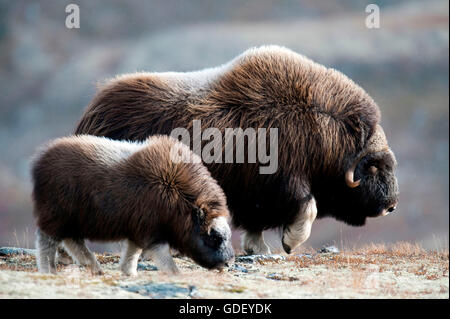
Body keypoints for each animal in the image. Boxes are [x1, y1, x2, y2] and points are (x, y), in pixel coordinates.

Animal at [31, 134, 234, 276]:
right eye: (214, 237)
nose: (229, 262)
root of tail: (40, 162)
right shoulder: (151, 230)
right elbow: (160, 254)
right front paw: (175, 274)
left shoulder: (139, 228)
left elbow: (133, 251)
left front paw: (128, 272)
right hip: (56, 215)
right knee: (47, 241)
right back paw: (49, 270)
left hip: (72, 220)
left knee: (72, 241)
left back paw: (94, 267)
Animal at [75, 44, 400, 255]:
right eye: (374, 166)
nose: (392, 206)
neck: (320, 124)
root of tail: (92, 110)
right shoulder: (284, 181)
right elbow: (307, 208)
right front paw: (288, 243)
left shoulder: (256, 195)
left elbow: (256, 222)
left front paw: (258, 248)